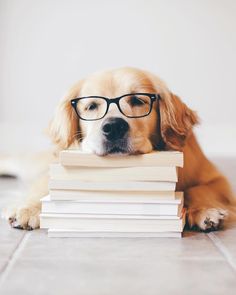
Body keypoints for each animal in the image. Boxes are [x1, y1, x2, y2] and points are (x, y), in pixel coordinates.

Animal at [2, 68, 235, 232]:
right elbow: (43, 188)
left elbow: (199, 189)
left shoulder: (217, 178)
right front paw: (28, 208)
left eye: (138, 100)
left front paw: (204, 211)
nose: (113, 127)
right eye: (91, 106)